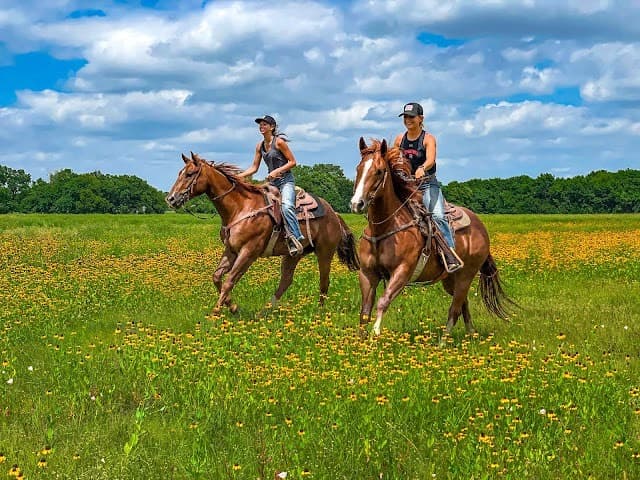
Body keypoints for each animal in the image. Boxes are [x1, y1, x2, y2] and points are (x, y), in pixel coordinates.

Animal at [165, 152, 360, 314]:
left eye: (190, 174)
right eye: (180, 172)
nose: (171, 199)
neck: (241, 208)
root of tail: (334, 214)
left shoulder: (249, 252)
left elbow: (229, 281)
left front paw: (215, 312)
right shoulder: (231, 250)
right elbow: (217, 277)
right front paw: (233, 307)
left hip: (325, 252)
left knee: (324, 282)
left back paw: (319, 313)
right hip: (294, 254)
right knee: (286, 280)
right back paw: (264, 312)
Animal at [348, 137, 512, 336]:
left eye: (379, 171)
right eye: (358, 168)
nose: (357, 204)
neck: (384, 229)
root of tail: (480, 226)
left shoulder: (402, 272)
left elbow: (382, 302)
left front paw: (376, 334)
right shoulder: (367, 274)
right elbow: (364, 312)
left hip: (466, 276)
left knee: (454, 309)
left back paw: (444, 340)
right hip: (450, 280)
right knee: (463, 305)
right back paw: (470, 335)